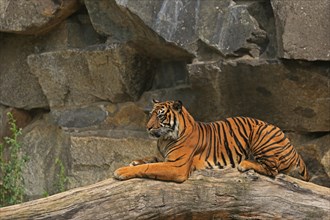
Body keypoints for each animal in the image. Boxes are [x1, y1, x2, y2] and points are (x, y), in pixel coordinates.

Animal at [114, 99, 310, 182]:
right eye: (151, 114)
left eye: (160, 116)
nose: (147, 127)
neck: (164, 139)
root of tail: (295, 151)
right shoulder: (163, 157)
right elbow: (149, 159)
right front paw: (135, 161)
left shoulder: (176, 166)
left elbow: (149, 167)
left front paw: (121, 171)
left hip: (261, 132)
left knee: (273, 170)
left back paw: (245, 164)